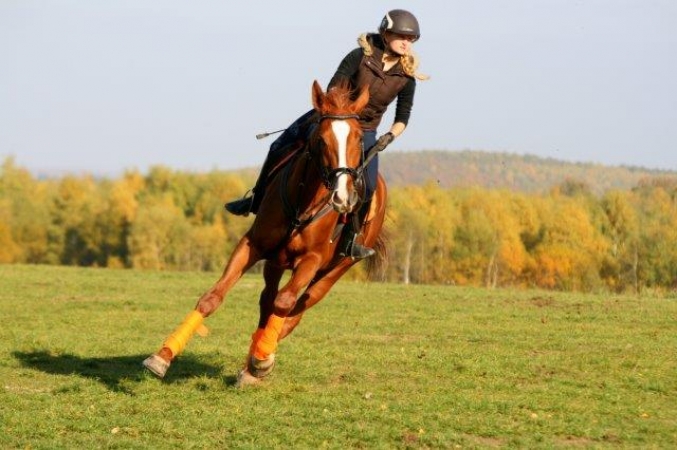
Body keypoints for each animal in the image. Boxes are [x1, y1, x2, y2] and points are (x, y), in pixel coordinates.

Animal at [143, 81, 386, 386]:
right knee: (267, 301)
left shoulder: (312, 259)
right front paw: (162, 356)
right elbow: (213, 298)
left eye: (357, 140)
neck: (303, 203)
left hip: (334, 270)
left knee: (293, 312)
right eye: (321, 139)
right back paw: (253, 360)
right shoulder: (253, 245)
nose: (343, 198)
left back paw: (259, 360)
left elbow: (284, 303)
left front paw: (261, 361)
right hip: (276, 261)